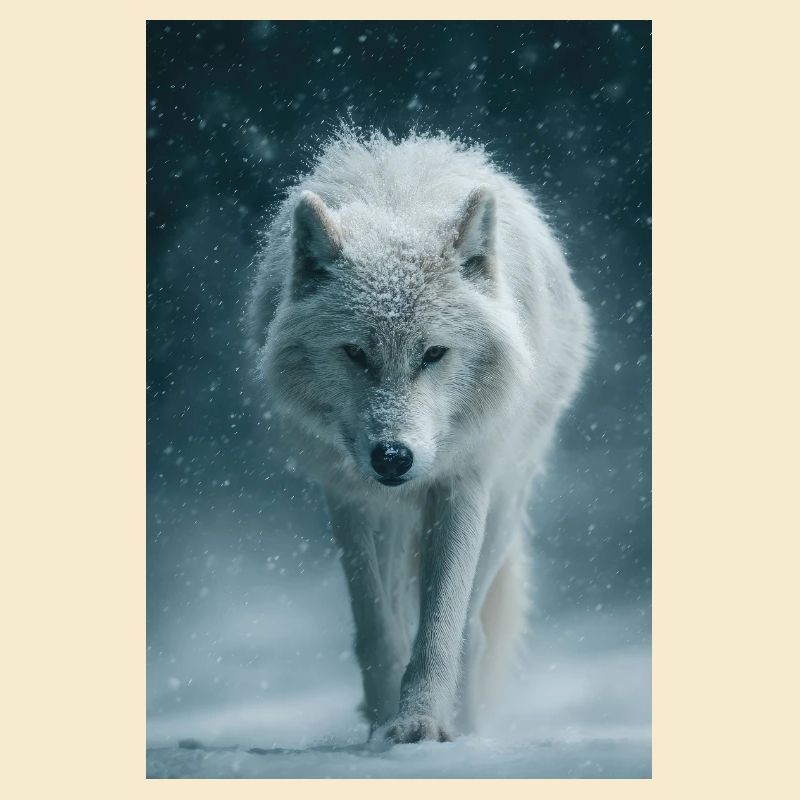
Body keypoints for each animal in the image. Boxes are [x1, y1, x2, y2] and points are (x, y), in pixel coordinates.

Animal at [247, 131, 592, 743]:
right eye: (355, 353)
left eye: (433, 353)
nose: (393, 458)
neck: (398, 207)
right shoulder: (349, 497)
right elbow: (377, 628)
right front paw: (383, 720)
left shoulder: (462, 483)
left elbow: (440, 629)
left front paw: (419, 724)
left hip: (505, 503)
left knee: (473, 631)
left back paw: (469, 727)